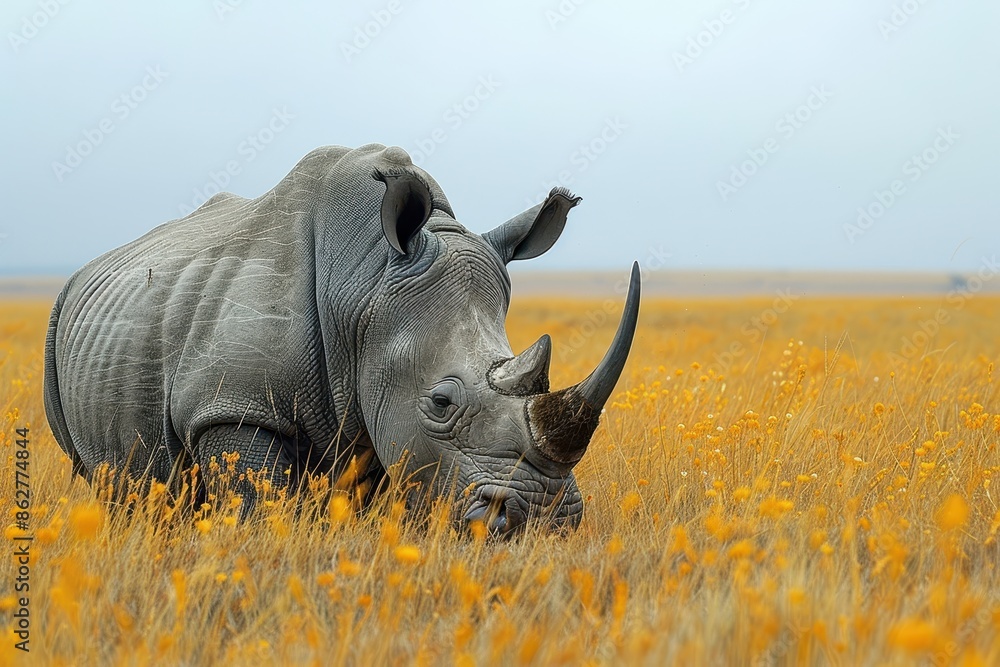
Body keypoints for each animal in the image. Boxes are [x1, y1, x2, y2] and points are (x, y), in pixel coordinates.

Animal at [43, 144, 640, 534]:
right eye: (440, 402)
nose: (544, 520)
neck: (364, 283)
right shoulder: (231, 406)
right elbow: (258, 511)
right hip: (60, 325)